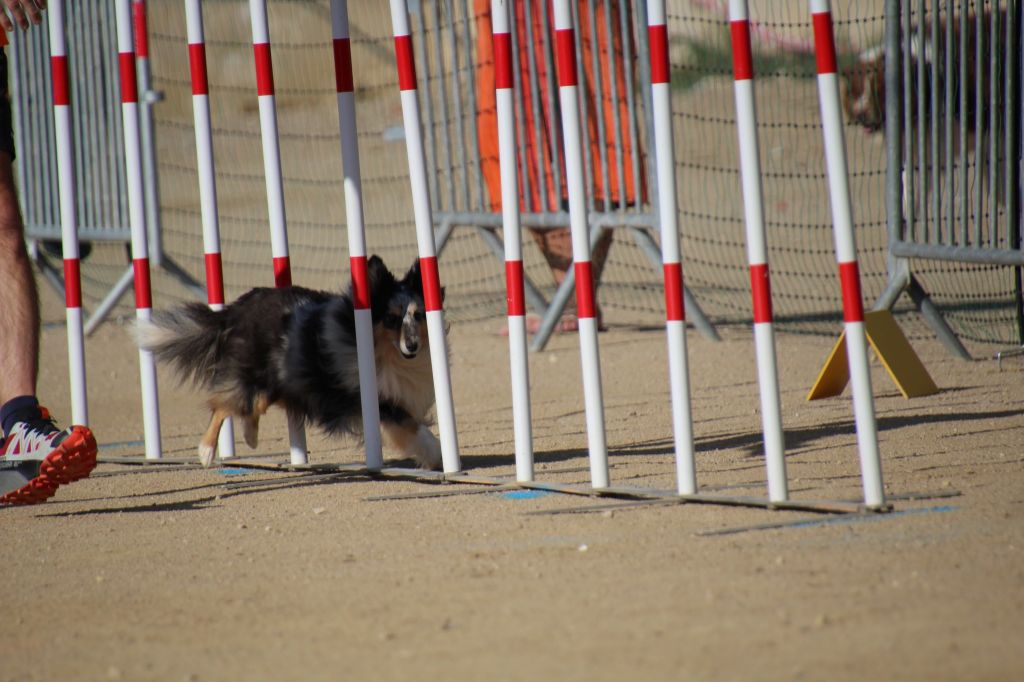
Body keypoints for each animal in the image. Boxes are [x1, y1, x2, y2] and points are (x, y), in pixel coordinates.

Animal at [134, 253, 442, 466]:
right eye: (391, 319)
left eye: (419, 315)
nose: (413, 345)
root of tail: (236, 308)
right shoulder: (375, 399)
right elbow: (414, 428)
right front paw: (439, 455)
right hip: (254, 374)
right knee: (224, 403)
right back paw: (207, 451)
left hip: (282, 379)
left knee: (253, 405)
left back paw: (250, 436)